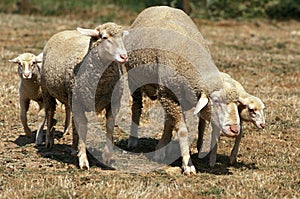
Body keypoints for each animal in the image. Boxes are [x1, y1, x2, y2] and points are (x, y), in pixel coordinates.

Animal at [40, 22, 127, 169]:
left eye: (122, 36)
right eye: (104, 37)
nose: (124, 57)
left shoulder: (114, 103)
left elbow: (109, 126)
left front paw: (106, 157)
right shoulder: (79, 102)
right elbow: (83, 128)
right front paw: (83, 160)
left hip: (72, 100)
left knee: (73, 122)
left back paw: (74, 148)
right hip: (48, 92)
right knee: (50, 112)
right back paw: (49, 141)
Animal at [124, 5, 241, 174]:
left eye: (237, 103)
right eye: (216, 100)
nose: (235, 129)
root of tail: (159, 6)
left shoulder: (173, 96)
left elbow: (175, 123)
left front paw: (162, 149)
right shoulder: (169, 95)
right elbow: (182, 130)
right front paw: (188, 164)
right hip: (134, 80)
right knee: (136, 107)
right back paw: (133, 140)